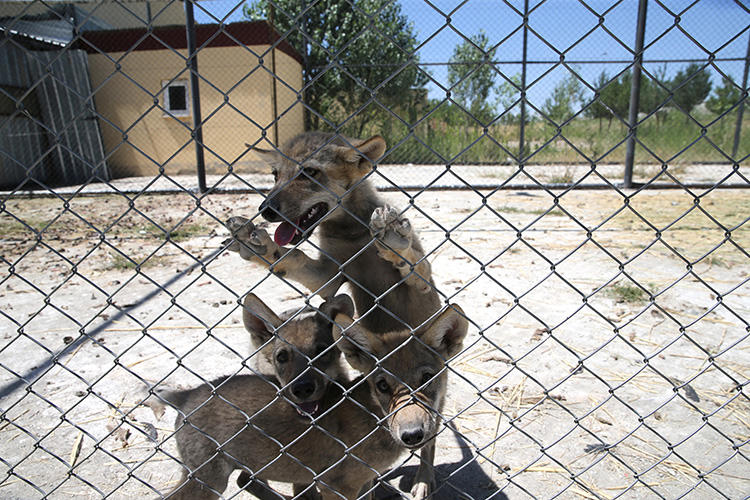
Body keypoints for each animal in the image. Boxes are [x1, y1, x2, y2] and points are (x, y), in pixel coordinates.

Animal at [223, 131, 446, 498]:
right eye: (275, 175)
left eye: (310, 173)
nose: (265, 210)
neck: (350, 231)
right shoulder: (326, 276)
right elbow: (290, 258)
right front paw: (258, 245)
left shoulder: (420, 281)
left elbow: (411, 261)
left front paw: (393, 238)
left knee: (430, 440)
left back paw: (424, 480)